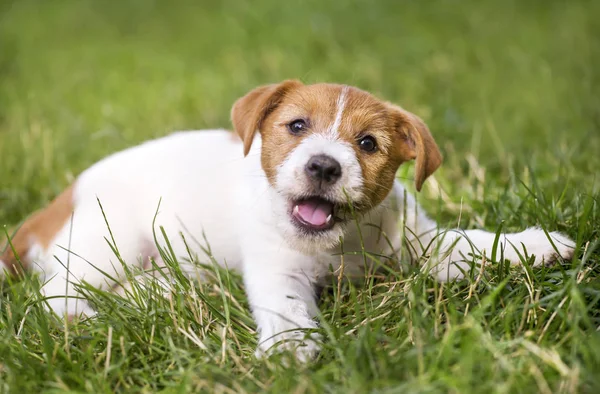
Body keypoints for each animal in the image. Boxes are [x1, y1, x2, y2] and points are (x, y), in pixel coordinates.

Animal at [1, 81, 576, 362]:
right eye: (297, 126)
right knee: (57, 299)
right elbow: (286, 309)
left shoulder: (423, 246)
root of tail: (61, 198)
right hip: (106, 243)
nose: (323, 166)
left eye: (368, 143)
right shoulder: (279, 270)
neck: (342, 242)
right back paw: (104, 314)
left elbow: (473, 244)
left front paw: (537, 244)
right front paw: (293, 348)